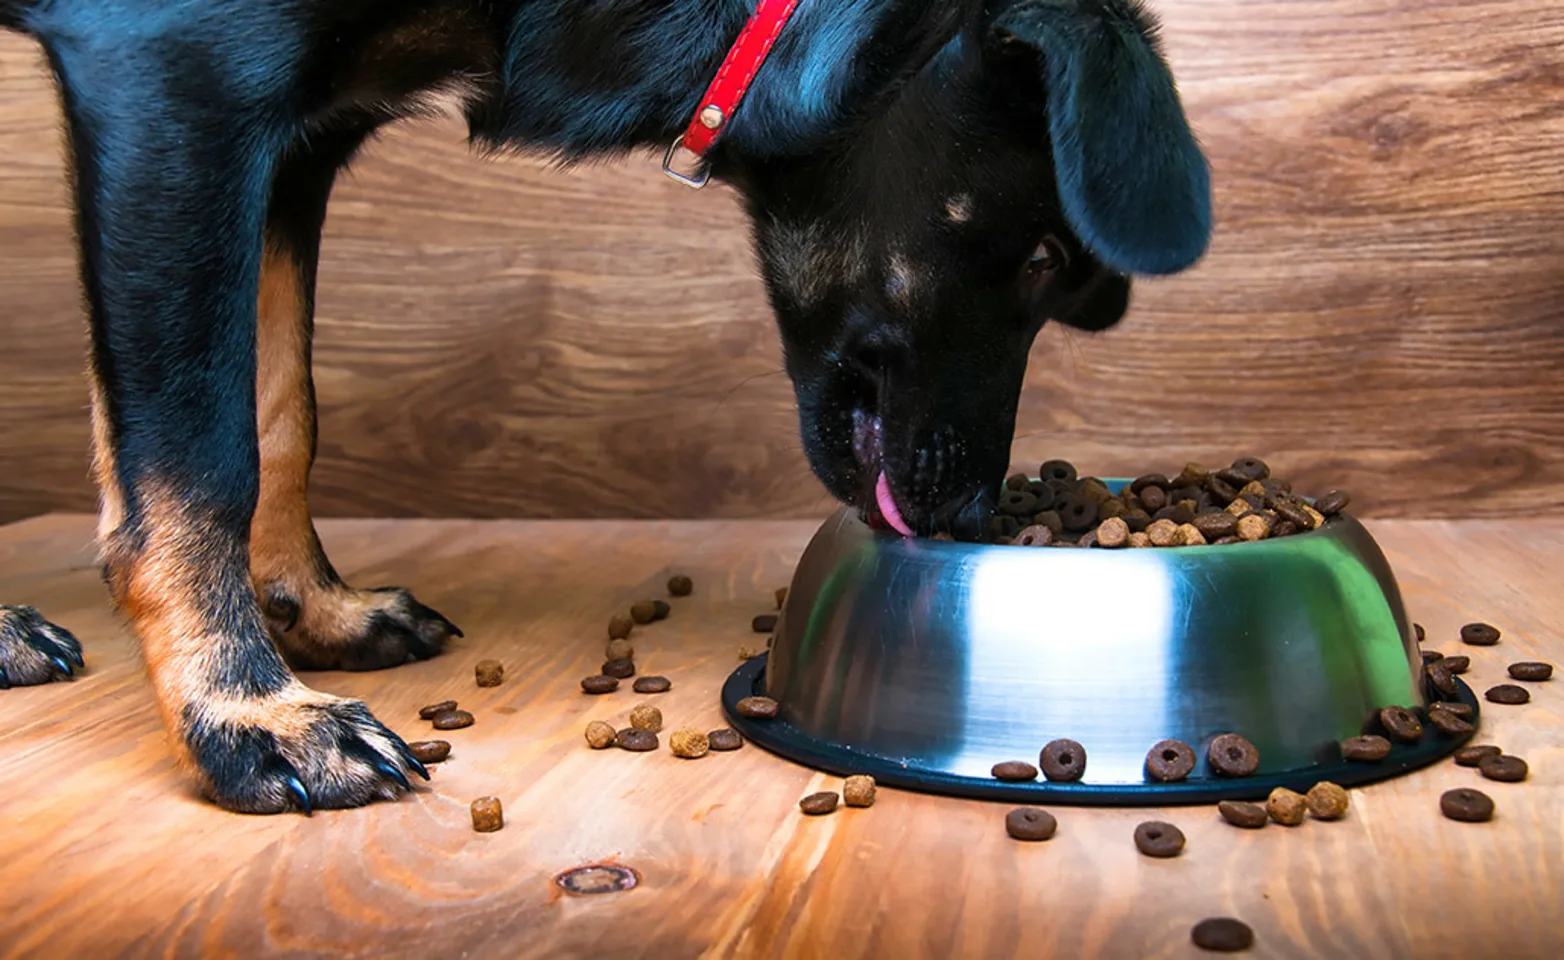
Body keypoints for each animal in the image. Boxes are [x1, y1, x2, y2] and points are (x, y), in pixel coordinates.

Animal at [0, 0, 1207, 819]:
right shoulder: (183, 79)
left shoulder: (296, 139)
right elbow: (200, 453)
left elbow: (281, 406)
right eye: (1045, 255)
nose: (970, 519)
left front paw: (311, 608)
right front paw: (245, 711)